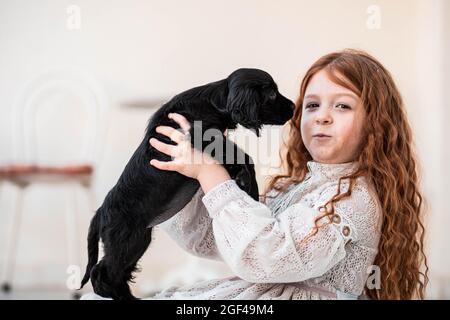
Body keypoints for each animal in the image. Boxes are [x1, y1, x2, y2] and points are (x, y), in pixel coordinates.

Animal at [79, 68, 294, 300]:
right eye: (271, 93)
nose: (293, 107)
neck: (213, 102)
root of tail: (101, 211)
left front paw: (243, 181)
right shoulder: (202, 137)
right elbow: (241, 155)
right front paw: (249, 184)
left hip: (137, 241)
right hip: (126, 242)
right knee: (102, 273)